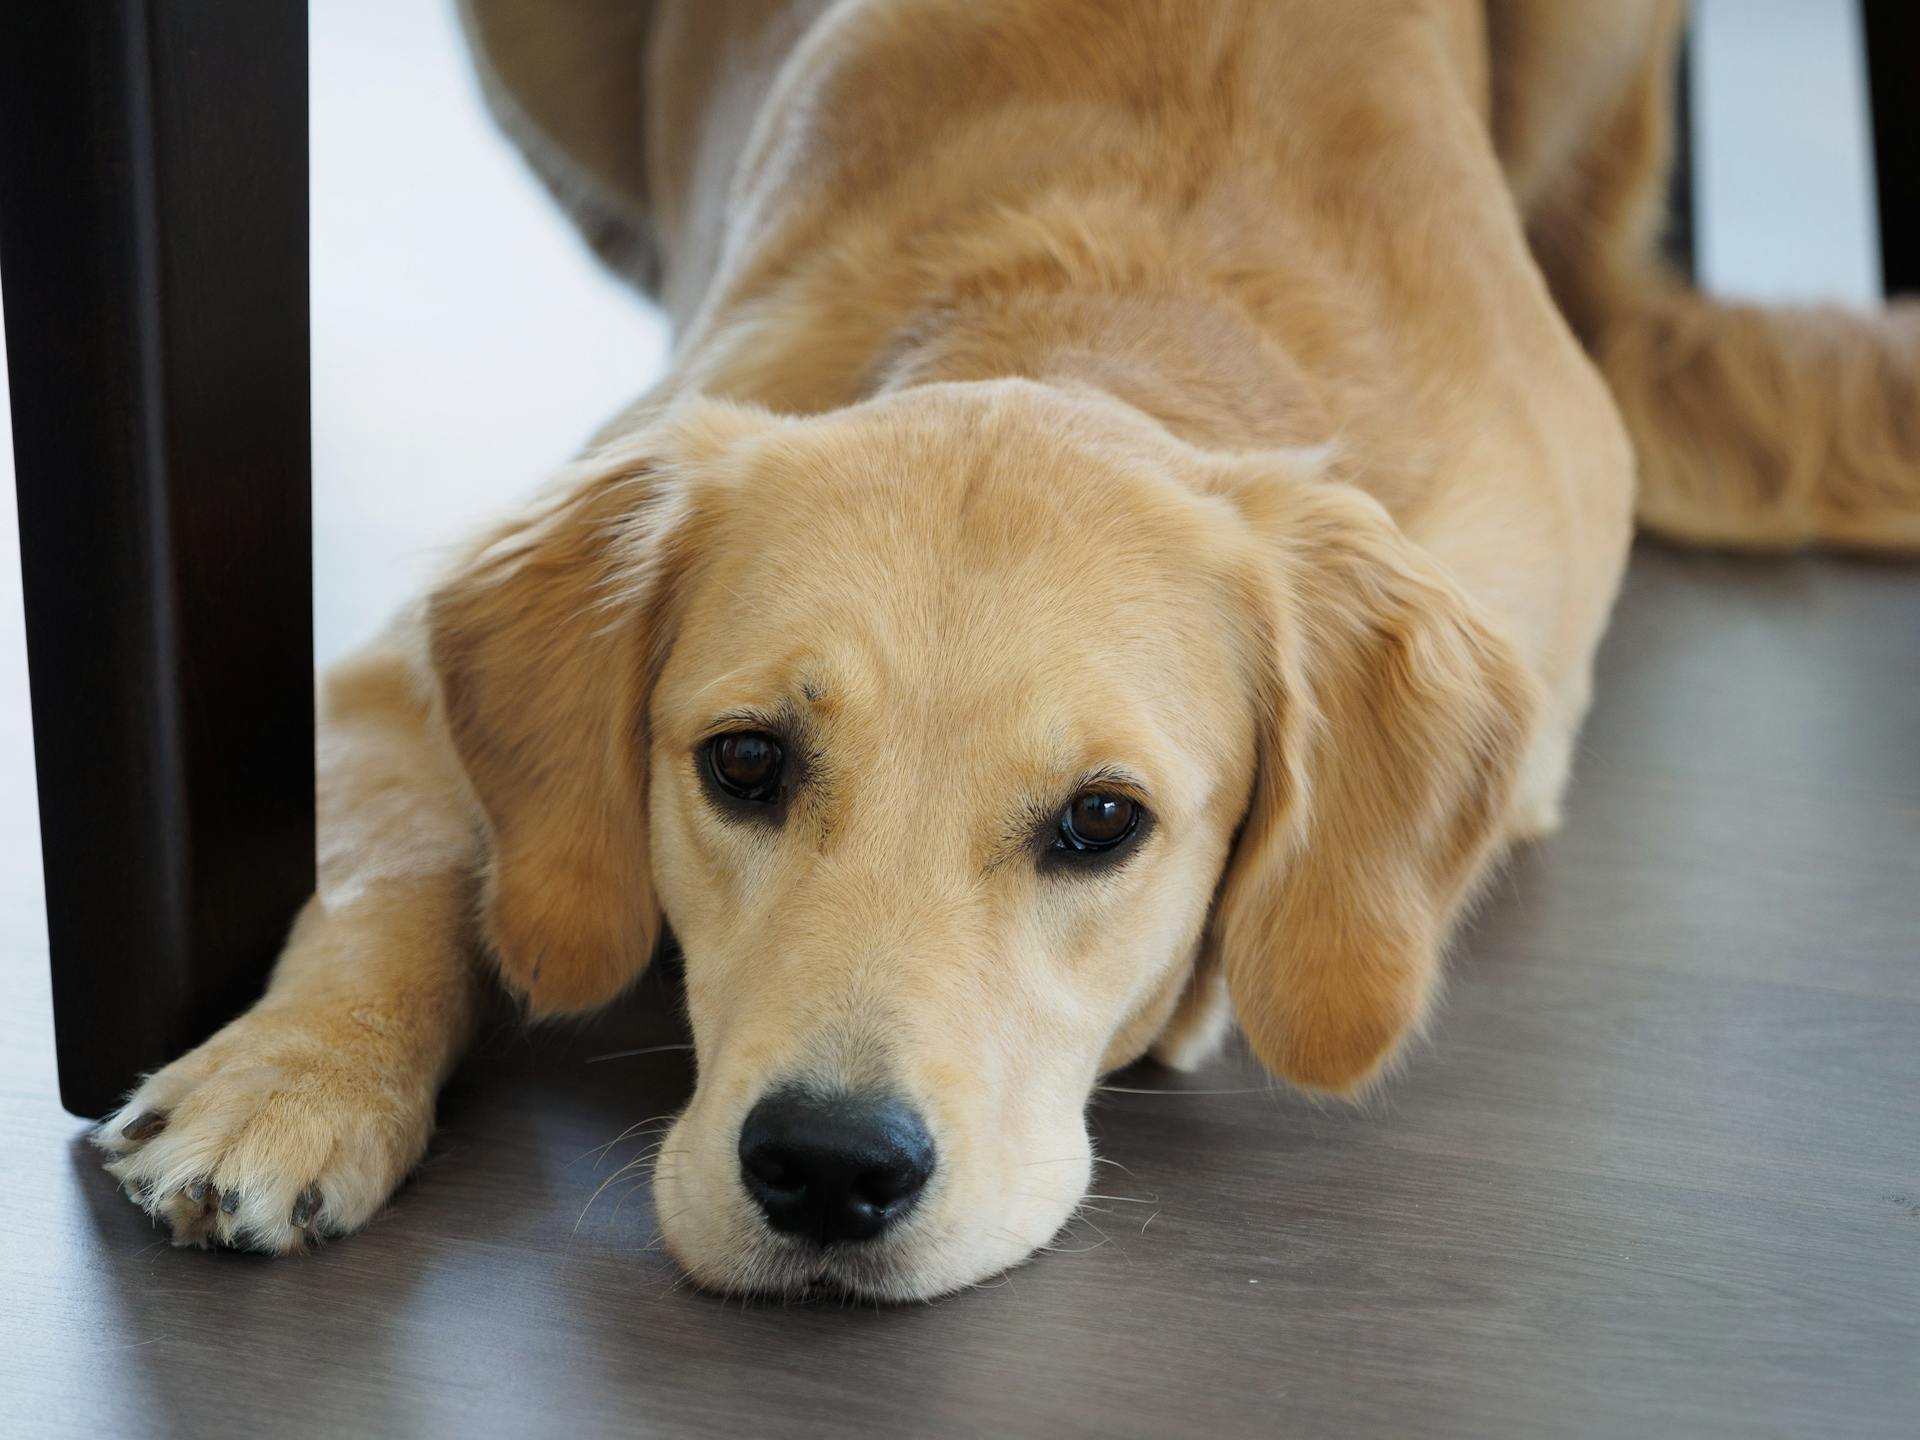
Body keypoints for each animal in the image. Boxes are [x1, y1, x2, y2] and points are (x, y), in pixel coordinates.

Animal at [97, 0, 1912, 1305]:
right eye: (744, 762)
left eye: (1101, 822)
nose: (829, 1172)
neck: (1094, 322)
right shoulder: (403, 658)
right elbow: (398, 857)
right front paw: (291, 1076)